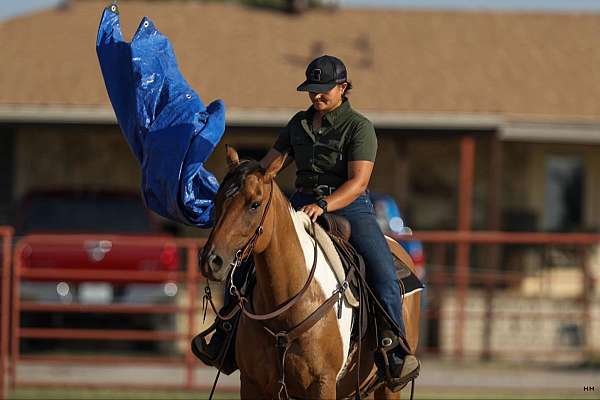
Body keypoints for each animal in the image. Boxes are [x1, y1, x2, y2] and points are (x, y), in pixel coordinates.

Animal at [199, 146, 420, 396]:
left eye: (254, 204)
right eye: (216, 199)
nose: (211, 261)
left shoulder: (323, 383)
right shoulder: (252, 384)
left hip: (387, 388)